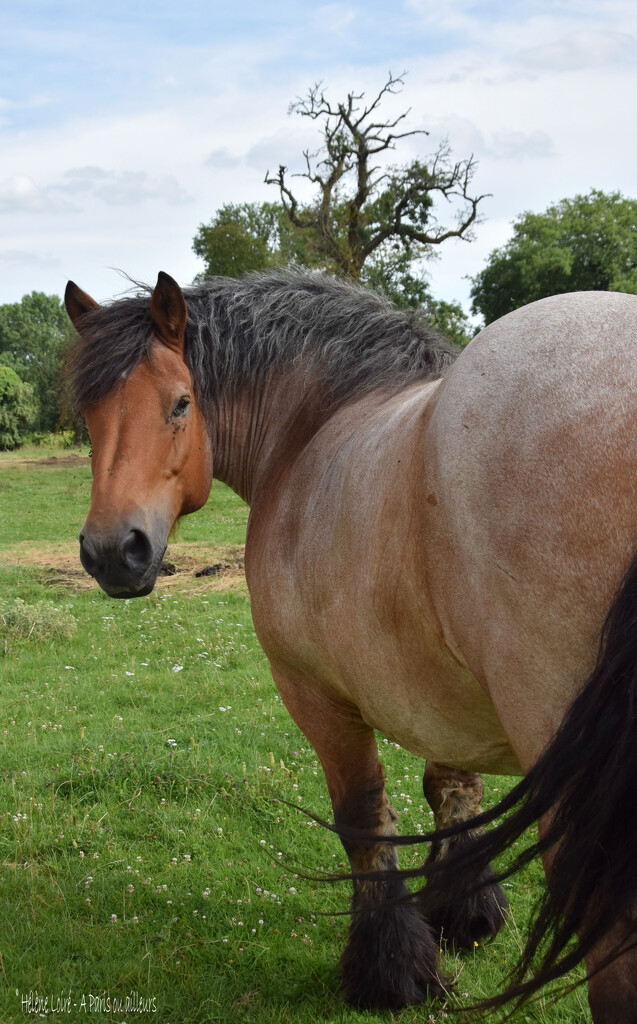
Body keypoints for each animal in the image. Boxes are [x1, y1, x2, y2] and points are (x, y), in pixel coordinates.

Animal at [67, 268, 637, 1019]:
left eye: (180, 404)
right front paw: (464, 912)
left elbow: (362, 813)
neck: (315, 423)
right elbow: (450, 785)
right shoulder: (435, 687)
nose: (112, 553)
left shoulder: (314, 693)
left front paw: (389, 968)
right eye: (89, 418)